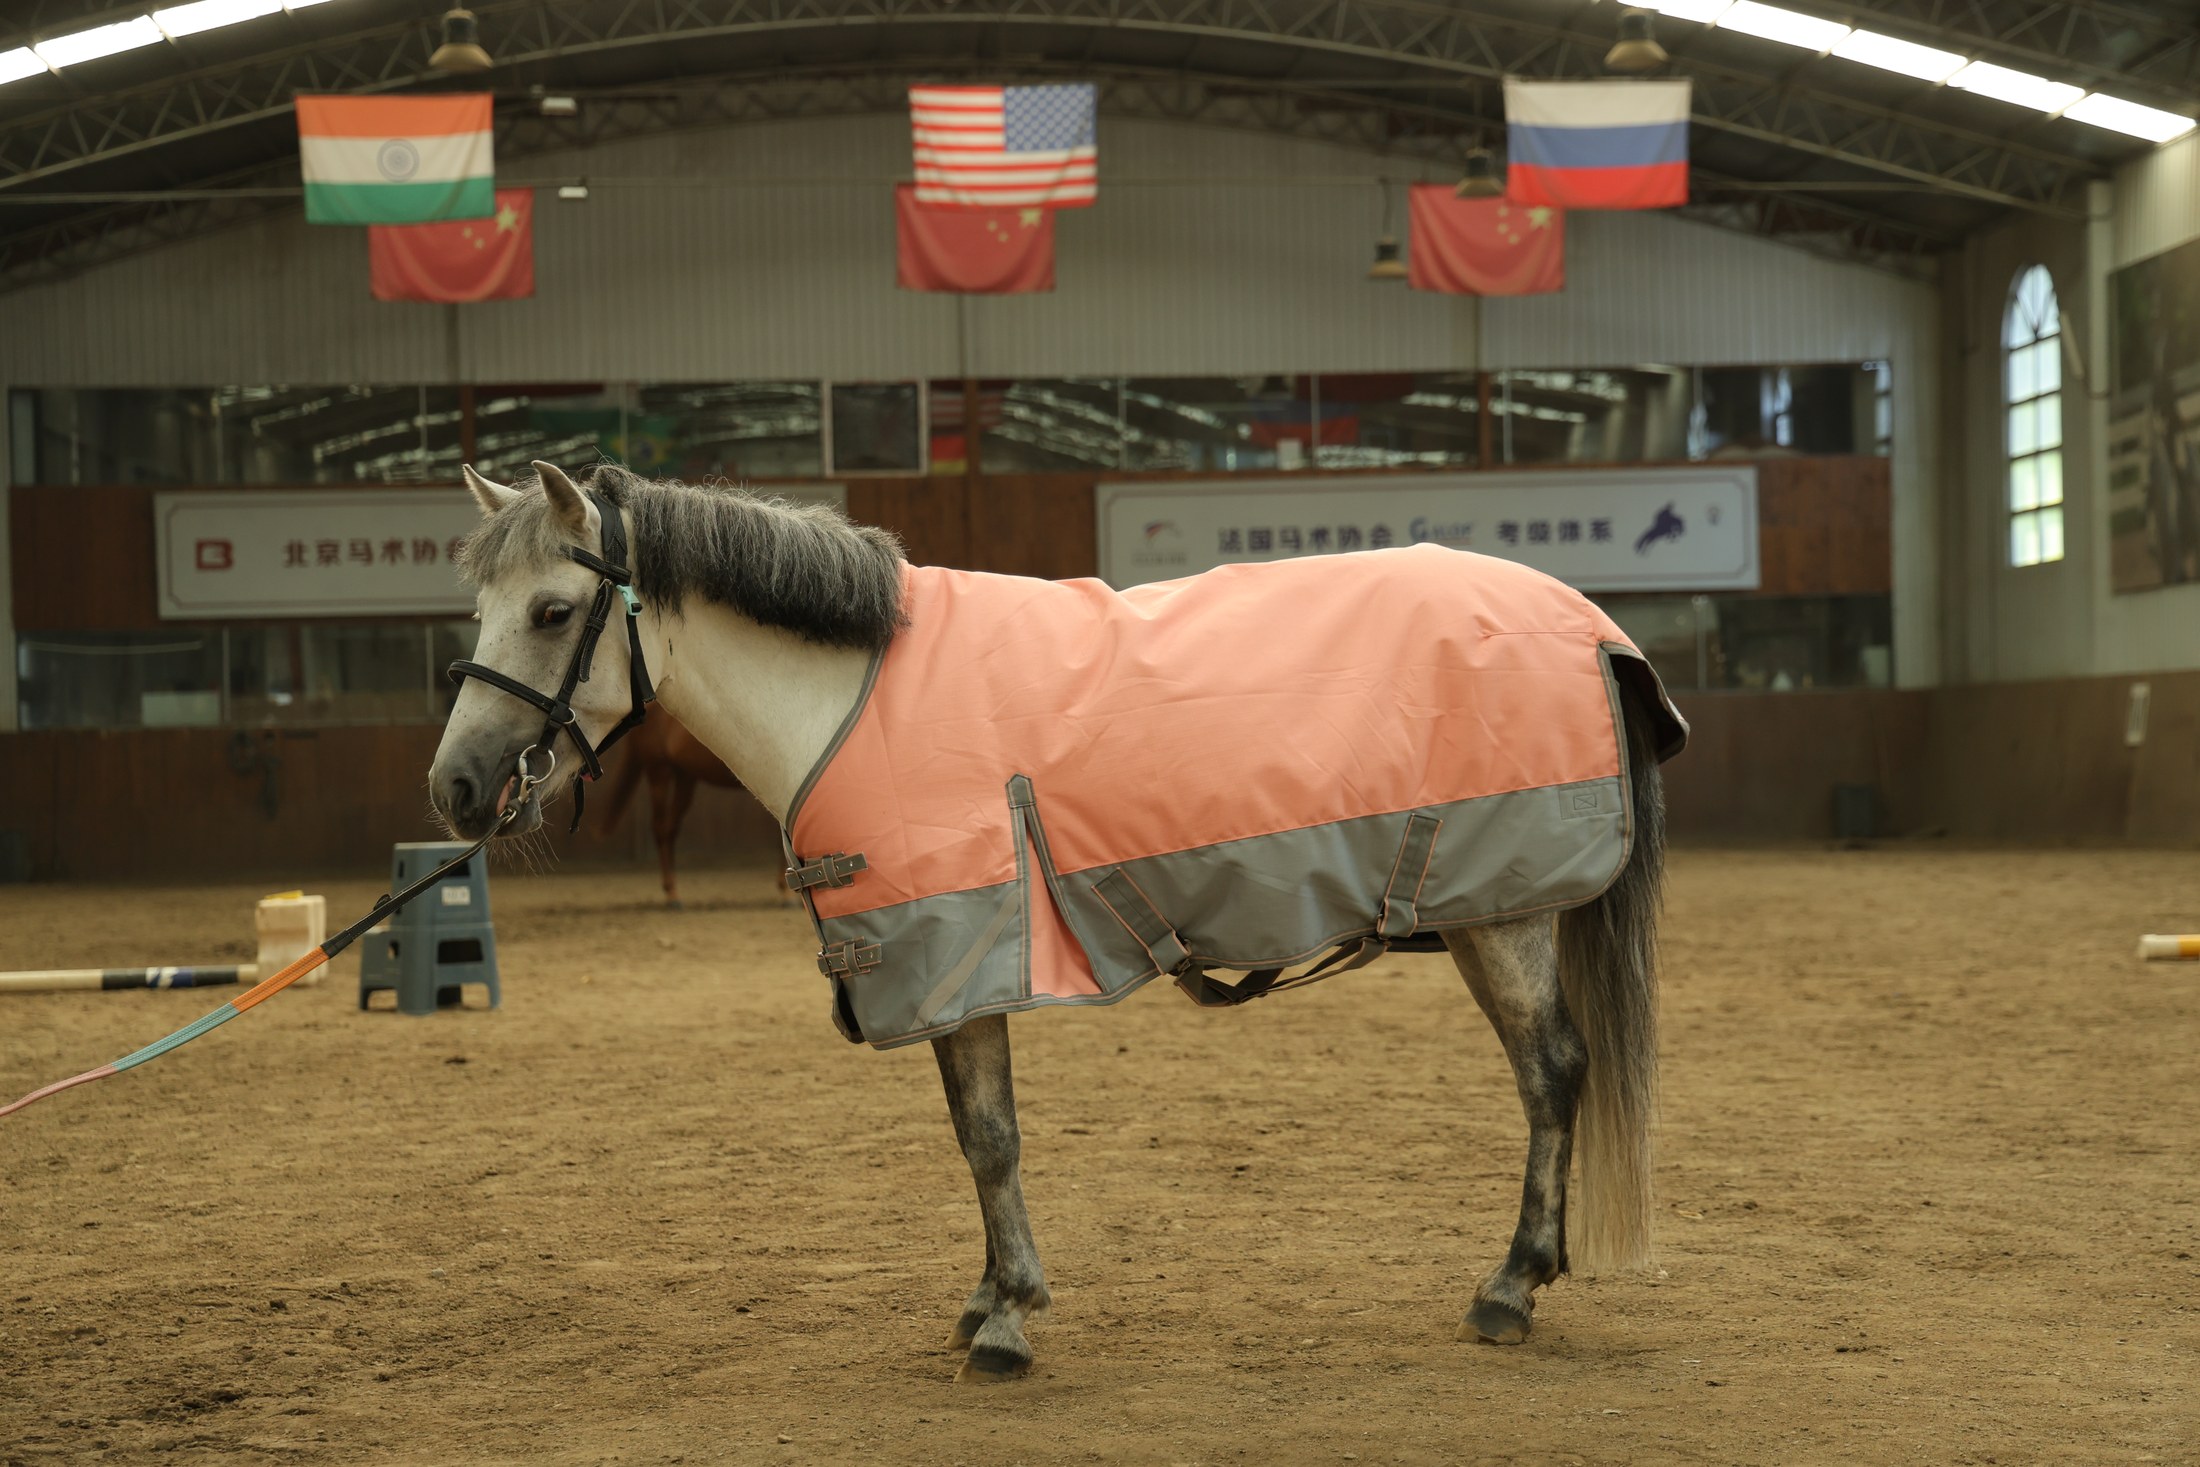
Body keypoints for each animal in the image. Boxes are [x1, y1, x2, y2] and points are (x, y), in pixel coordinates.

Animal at [429, 460, 1678, 1384]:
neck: (853, 698)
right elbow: (973, 1134)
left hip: (1501, 910)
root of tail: (1583, 622)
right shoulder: (936, 966)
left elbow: (991, 1139)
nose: (455, 787)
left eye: (552, 610)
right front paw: (989, 1294)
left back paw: (1509, 1287)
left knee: (1550, 1072)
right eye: (477, 611)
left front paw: (1006, 1322)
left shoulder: (958, 950)